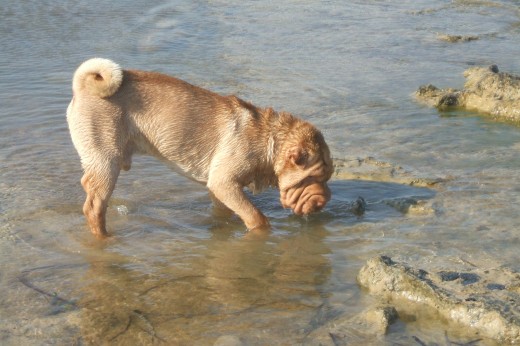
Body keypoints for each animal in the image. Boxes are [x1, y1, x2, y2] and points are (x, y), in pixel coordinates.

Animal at [67, 58, 334, 238]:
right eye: (313, 178)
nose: (326, 198)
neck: (269, 140)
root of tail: (83, 88)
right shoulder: (224, 182)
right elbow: (255, 216)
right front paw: (261, 231)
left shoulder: (222, 188)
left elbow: (227, 210)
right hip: (106, 162)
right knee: (94, 207)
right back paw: (104, 238)